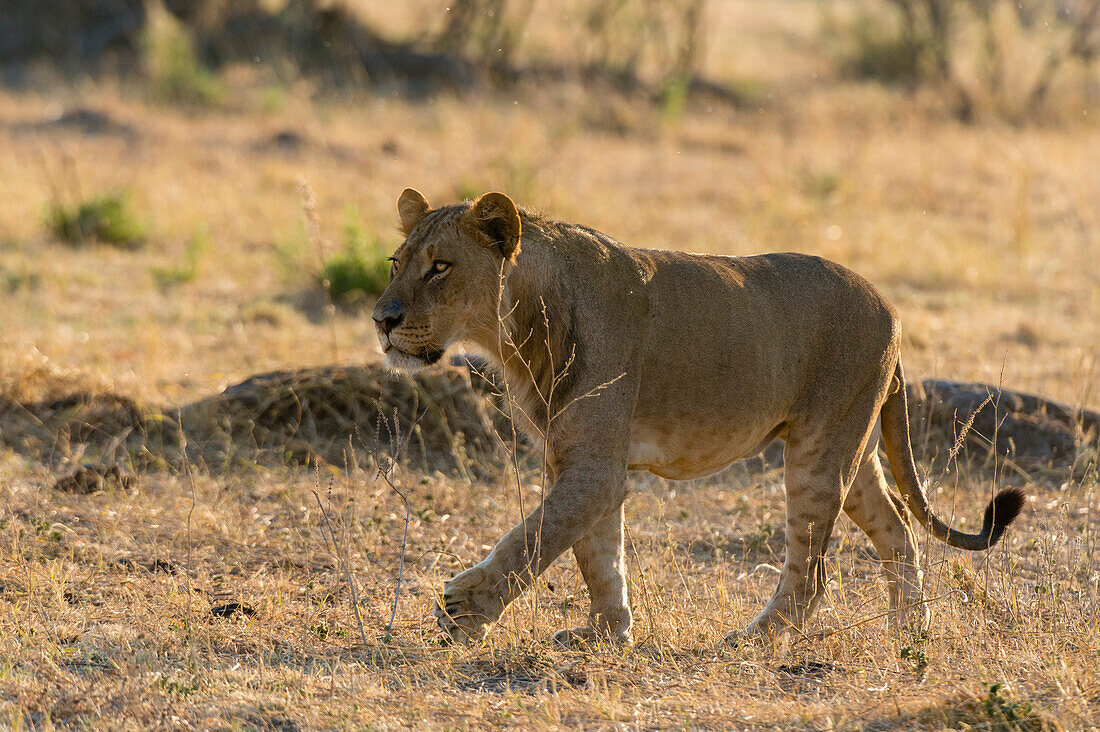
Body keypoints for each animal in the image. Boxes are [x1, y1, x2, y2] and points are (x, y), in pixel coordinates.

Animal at [374, 187, 1025, 647]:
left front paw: (466, 610)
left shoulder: (594, 466)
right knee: (899, 528)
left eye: (440, 267)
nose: (382, 319)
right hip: (854, 447)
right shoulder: (577, 461)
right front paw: (608, 635)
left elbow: (534, 539)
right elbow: (595, 553)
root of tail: (890, 308)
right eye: (395, 262)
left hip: (819, 450)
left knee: (812, 570)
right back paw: (910, 632)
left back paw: (754, 639)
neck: (517, 332)